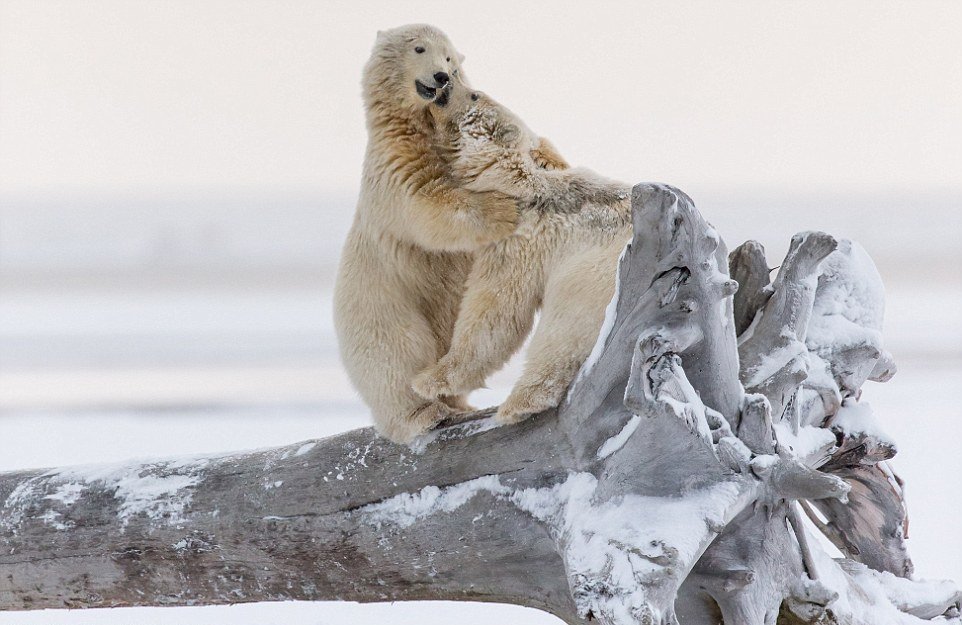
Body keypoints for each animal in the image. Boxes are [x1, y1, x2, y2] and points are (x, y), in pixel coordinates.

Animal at [334, 24, 522, 444]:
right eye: (419, 48)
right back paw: (424, 414)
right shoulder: (393, 165)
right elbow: (427, 206)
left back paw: (460, 405)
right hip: (382, 306)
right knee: (398, 355)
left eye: (450, 57)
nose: (441, 77)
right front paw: (504, 209)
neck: (419, 128)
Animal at [412, 86, 633, 424]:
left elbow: (495, 310)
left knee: (563, 327)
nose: (442, 88)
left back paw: (519, 403)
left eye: (473, 95)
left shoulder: (519, 239)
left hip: (597, 274)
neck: (517, 183)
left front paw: (428, 380)